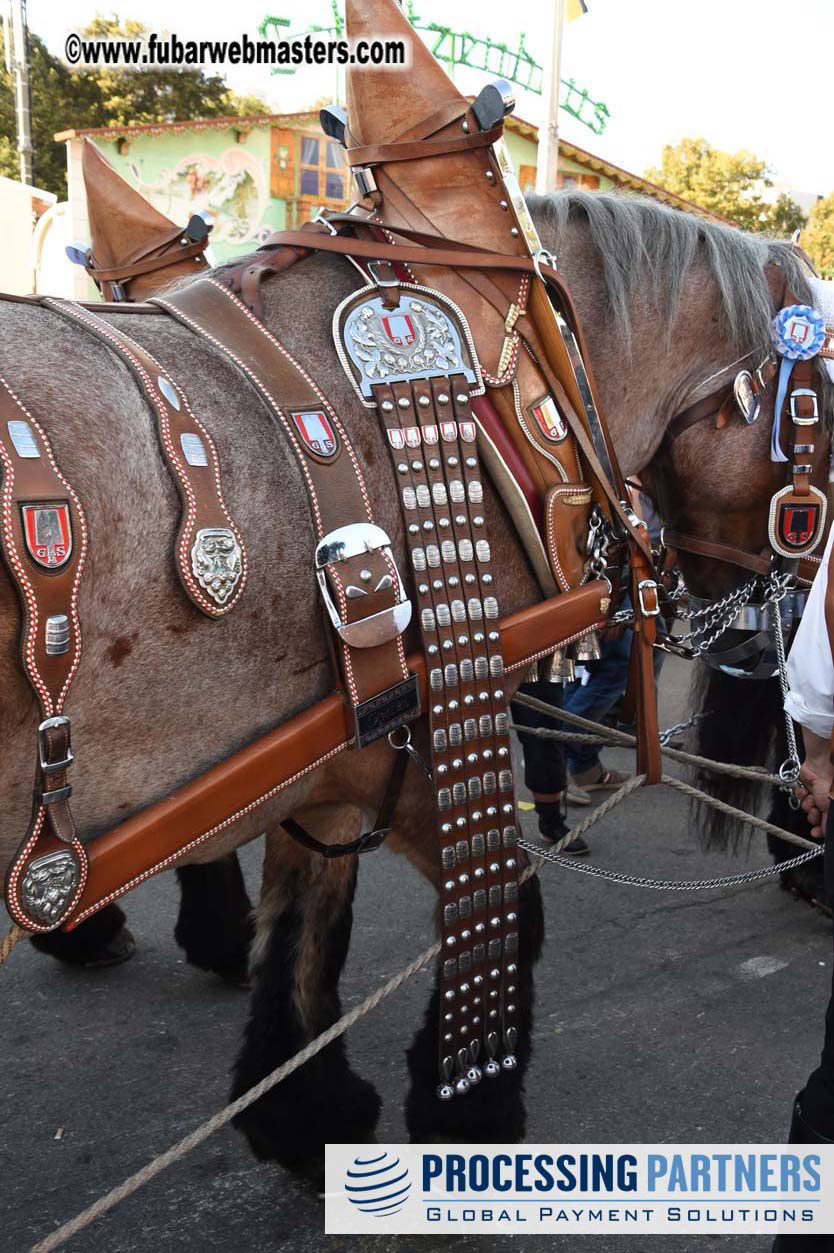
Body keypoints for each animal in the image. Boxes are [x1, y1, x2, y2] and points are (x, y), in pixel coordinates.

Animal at [0, 190, 816, 1157]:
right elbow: (509, 901)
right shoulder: (396, 739)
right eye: (821, 404)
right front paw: (468, 1104)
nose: (768, 630)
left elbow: (311, 918)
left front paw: (302, 1107)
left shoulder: (334, 751)